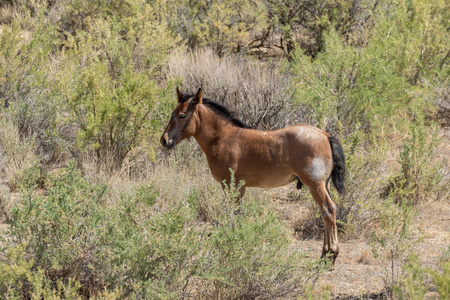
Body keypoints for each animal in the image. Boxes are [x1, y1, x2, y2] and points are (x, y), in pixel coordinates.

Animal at [160, 88, 346, 264]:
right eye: (172, 113)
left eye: (182, 115)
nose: (164, 140)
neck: (222, 137)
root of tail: (325, 135)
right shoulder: (240, 188)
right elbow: (238, 213)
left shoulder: (231, 185)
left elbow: (234, 213)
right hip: (323, 185)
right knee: (326, 211)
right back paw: (325, 254)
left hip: (315, 185)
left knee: (328, 210)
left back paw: (331, 254)